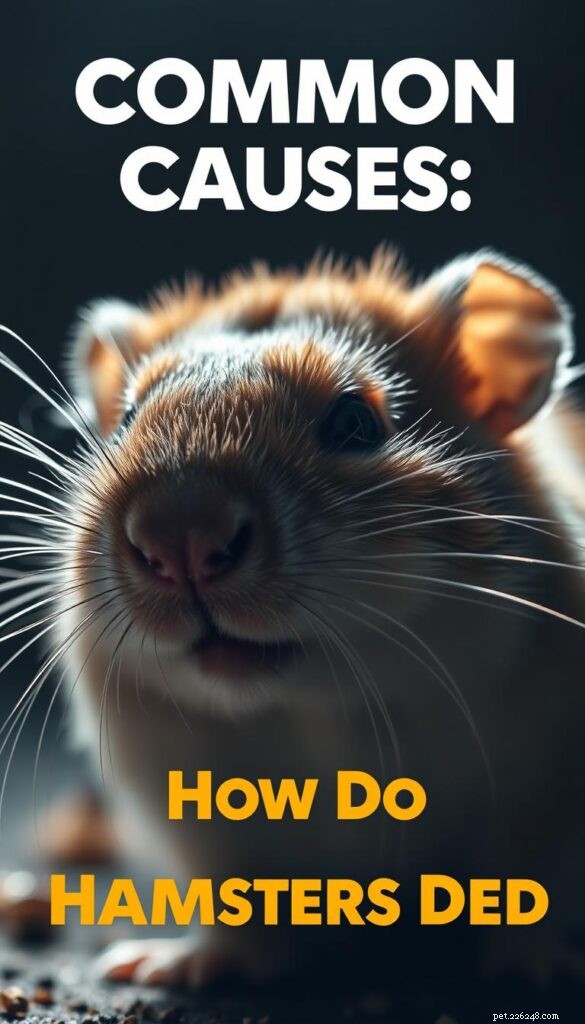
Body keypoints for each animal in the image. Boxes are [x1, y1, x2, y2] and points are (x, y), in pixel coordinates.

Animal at [13, 248, 585, 985]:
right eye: (125, 422)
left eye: (355, 424)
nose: (180, 539)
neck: (324, 707)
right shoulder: (202, 826)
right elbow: (236, 906)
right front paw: (163, 967)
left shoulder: (543, 796)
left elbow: (530, 883)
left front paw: (539, 965)